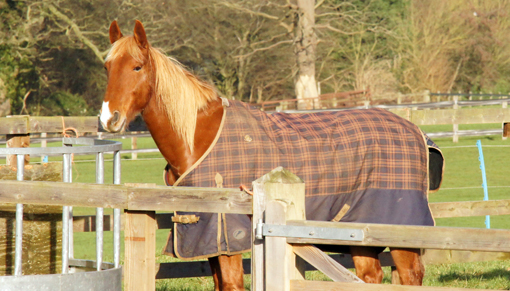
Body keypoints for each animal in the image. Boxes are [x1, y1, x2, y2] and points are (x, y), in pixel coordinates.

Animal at [99, 20, 442, 290]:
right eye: (107, 67)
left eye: (137, 66)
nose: (108, 119)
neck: (196, 137)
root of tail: (416, 132)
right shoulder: (206, 237)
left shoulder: (229, 235)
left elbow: (232, 284)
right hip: (359, 231)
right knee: (369, 277)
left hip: (400, 231)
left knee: (410, 276)